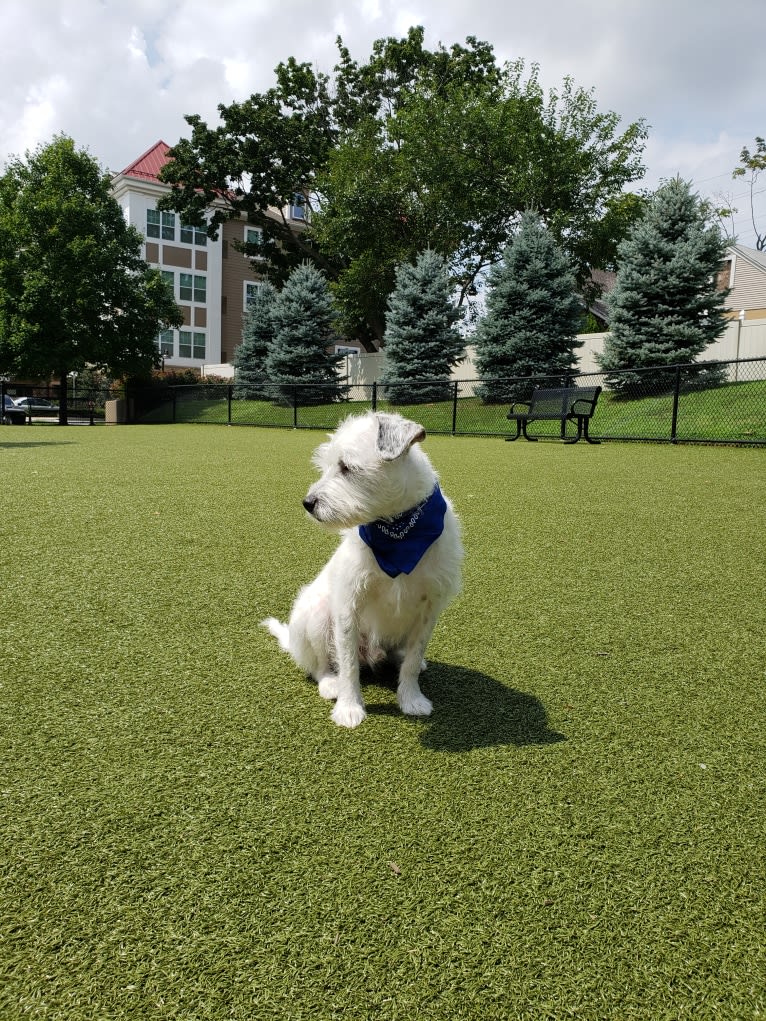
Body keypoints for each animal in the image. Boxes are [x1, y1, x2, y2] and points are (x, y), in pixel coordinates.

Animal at [263, 410, 465, 731]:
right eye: (327, 464)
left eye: (346, 467)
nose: (308, 503)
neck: (398, 533)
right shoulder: (348, 605)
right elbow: (348, 667)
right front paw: (349, 707)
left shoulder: (429, 608)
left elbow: (412, 659)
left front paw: (411, 699)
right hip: (317, 615)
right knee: (321, 666)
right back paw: (329, 684)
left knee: (403, 656)